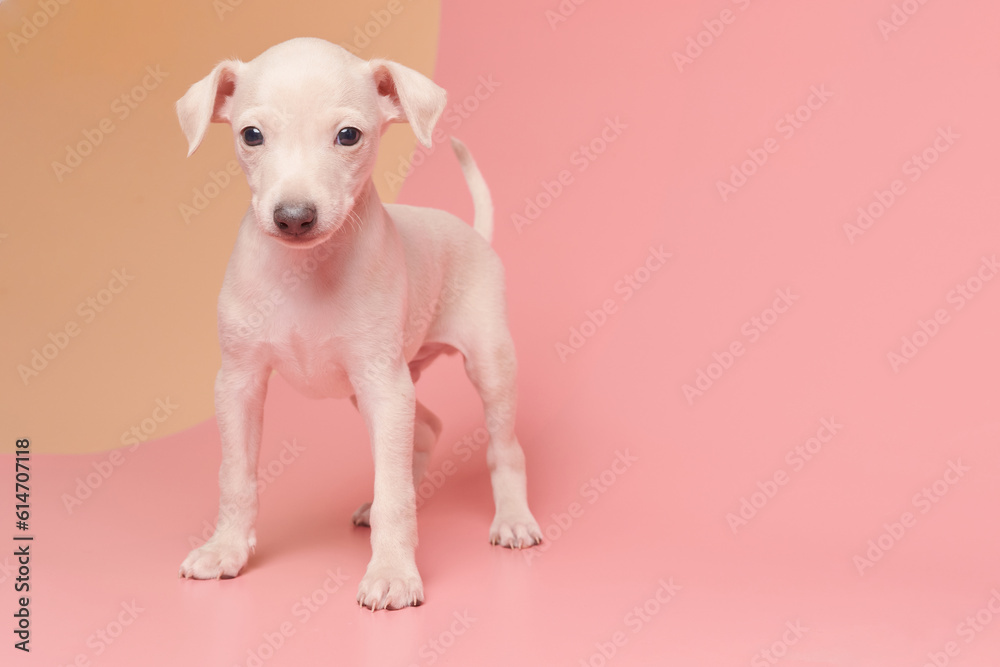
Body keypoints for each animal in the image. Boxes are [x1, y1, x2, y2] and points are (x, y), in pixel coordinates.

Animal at [176, 36, 544, 612]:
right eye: (251, 135)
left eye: (348, 135)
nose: (294, 217)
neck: (307, 272)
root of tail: (472, 234)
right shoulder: (238, 382)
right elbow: (235, 475)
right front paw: (225, 550)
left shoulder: (383, 387)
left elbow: (396, 493)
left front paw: (392, 571)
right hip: (383, 384)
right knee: (426, 428)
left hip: (487, 364)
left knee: (503, 448)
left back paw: (512, 519)